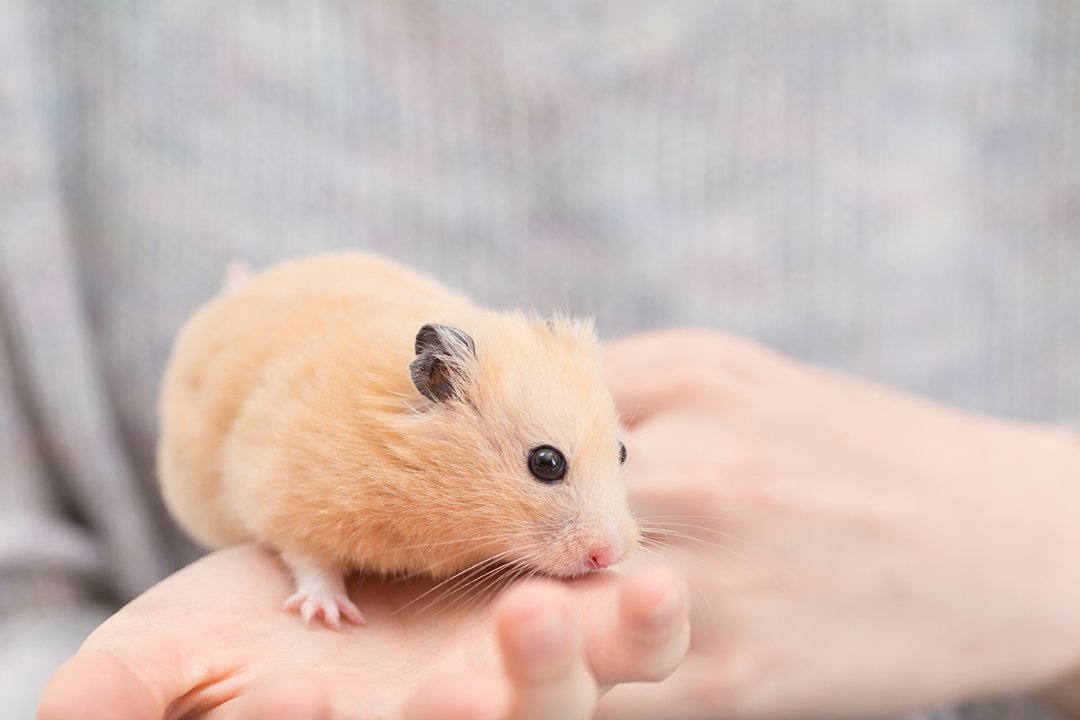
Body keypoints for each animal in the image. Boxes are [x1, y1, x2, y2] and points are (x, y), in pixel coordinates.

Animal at [156, 252, 635, 626]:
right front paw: (328, 614)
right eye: (546, 463)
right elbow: (309, 557)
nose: (610, 555)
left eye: (622, 452)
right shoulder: (281, 493)